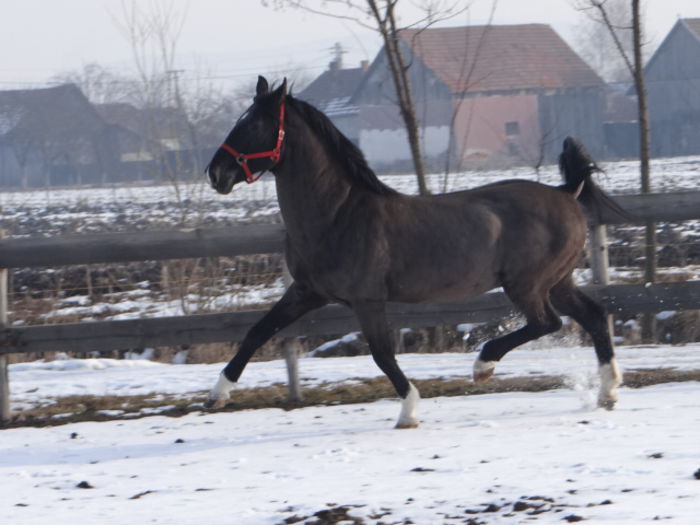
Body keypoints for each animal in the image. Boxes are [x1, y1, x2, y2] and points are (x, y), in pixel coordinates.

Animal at [204, 77, 624, 426]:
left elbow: (382, 354)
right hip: (558, 281)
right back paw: (607, 392)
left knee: (547, 323)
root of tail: (565, 192)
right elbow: (258, 331)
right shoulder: (307, 292)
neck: (338, 214)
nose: (215, 174)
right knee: (592, 315)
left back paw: (483, 365)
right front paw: (217, 395)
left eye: (254, 125)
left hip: (527, 284)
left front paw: (409, 411)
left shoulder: (367, 300)